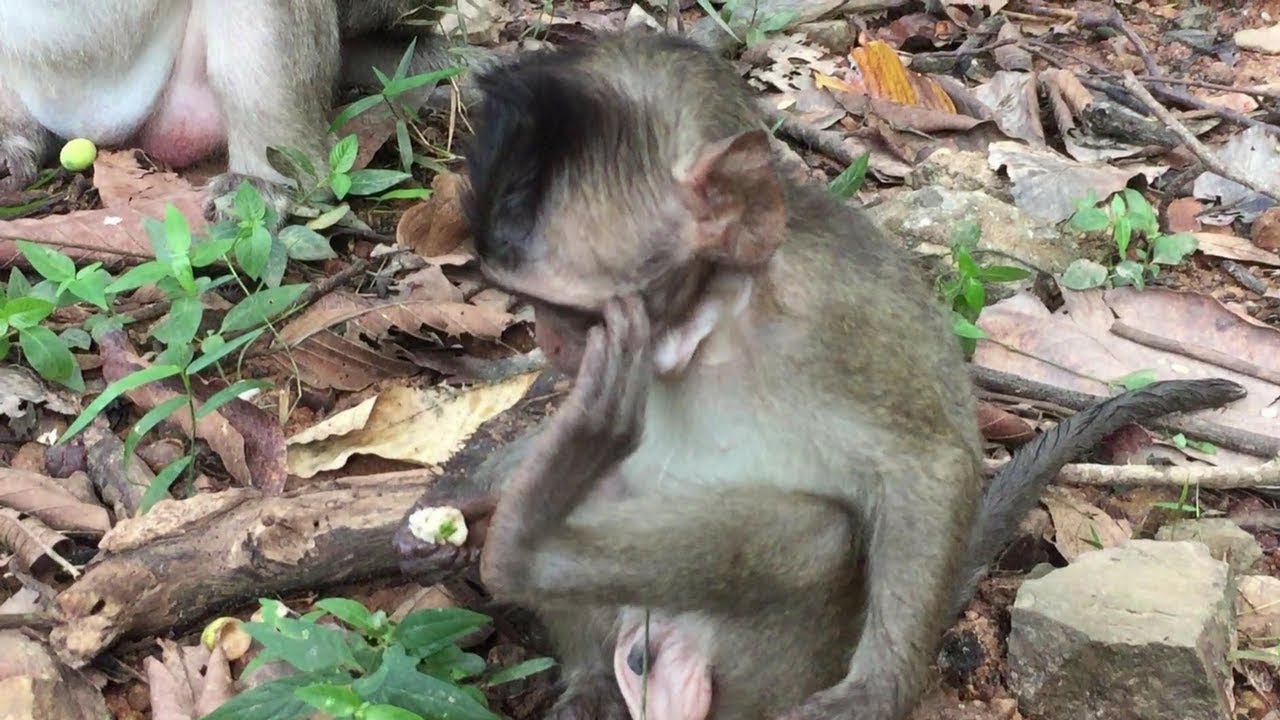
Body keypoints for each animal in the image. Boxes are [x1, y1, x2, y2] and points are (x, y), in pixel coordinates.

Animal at [392, 32, 1247, 720]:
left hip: (766, 671)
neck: (716, 316)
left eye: (575, 312)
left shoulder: (833, 319)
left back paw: (526, 545)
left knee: (817, 539)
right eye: (532, 306)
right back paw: (585, 668)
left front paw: (880, 688)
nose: (551, 344)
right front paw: (450, 503)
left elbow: (929, 463)